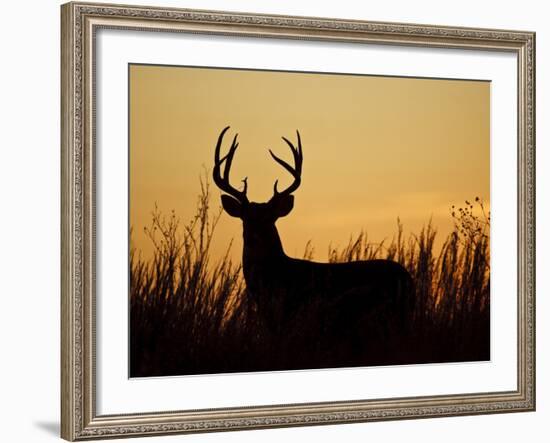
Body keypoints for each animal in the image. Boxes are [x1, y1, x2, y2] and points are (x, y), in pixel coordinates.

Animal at [213, 126, 416, 342]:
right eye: (246, 218)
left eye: (270, 218)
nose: (253, 237)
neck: (277, 275)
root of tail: (408, 279)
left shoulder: (292, 314)